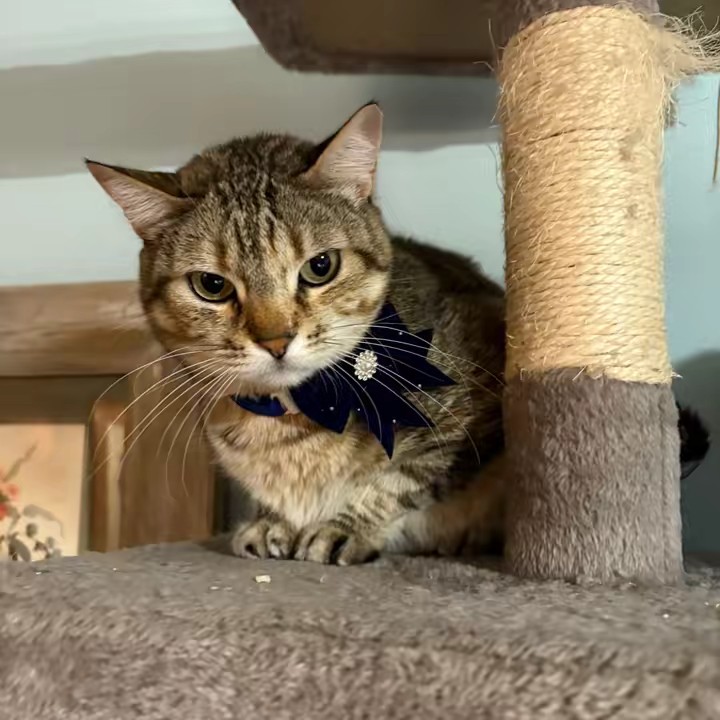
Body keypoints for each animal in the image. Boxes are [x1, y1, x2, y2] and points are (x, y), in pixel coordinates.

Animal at [87, 103, 709, 565]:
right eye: (211, 286)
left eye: (320, 267)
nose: (275, 340)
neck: (291, 421)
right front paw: (272, 521)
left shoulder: (476, 409)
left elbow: (404, 476)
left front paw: (343, 524)